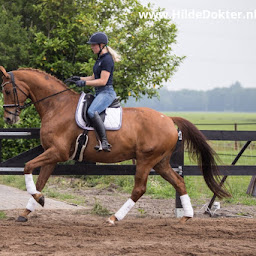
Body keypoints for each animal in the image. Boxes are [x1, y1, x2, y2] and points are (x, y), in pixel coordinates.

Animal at [0, 66, 230, 224]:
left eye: (8, 91)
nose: (9, 119)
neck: (57, 105)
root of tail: (168, 119)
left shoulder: (58, 152)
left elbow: (27, 166)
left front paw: (38, 200)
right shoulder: (52, 154)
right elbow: (40, 181)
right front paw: (29, 209)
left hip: (146, 160)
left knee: (139, 189)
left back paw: (114, 218)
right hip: (161, 162)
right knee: (179, 183)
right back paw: (186, 216)